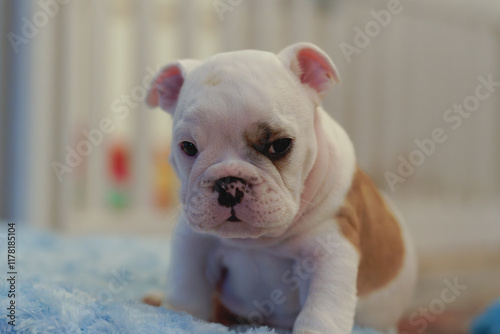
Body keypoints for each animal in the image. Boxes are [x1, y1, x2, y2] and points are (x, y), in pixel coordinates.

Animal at [146, 43, 418, 332]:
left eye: (280, 145)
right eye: (188, 147)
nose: (229, 182)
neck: (260, 241)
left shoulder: (331, 249)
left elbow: (320, 313)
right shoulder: (193, 243)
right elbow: (187, 291)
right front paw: (179, 317)